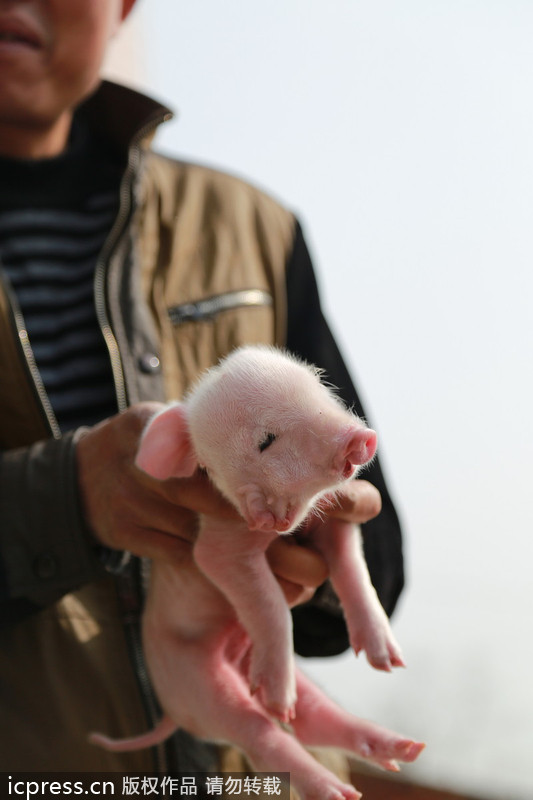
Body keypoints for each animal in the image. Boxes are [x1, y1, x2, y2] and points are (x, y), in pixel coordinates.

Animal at [89, 346, 424, 798]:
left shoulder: (335, 522)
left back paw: (399, 749)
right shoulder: (216, 547)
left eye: (320, 385)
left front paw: (388, 661)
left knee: (316, 720)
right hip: (195, 683)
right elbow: (268, 602)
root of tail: (171, 711)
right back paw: (288, 723)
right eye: (266, 440)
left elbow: (354, 569)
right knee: (260, 735)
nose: (361, 438)